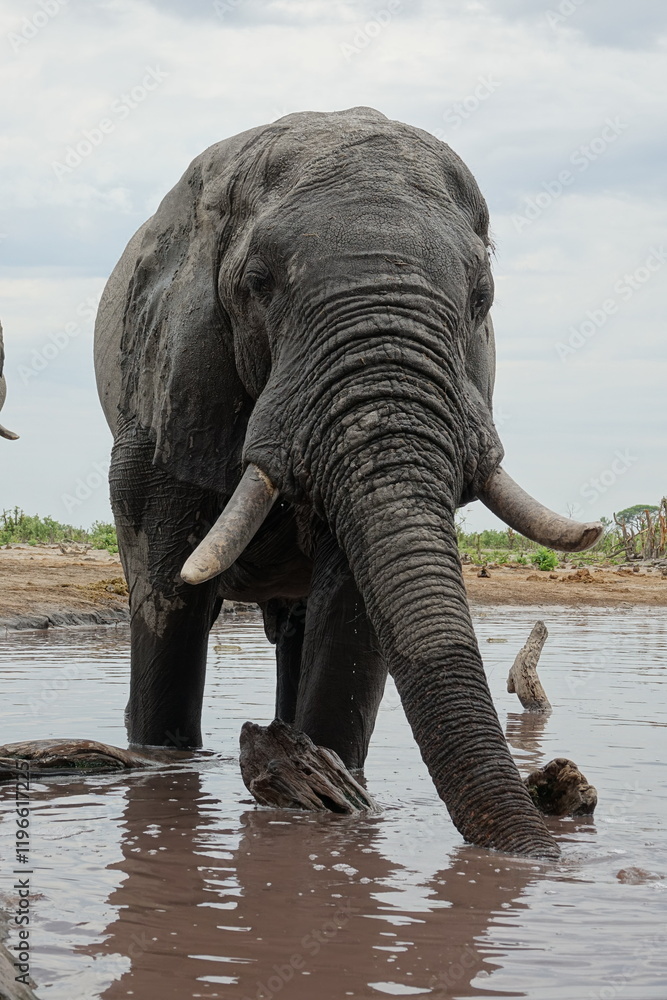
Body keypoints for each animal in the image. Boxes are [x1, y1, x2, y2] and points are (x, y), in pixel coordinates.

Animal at [94, 107, 601, 858]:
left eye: (482, 296)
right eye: (257, 283)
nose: (545, 853)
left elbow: (351, 608)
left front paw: (331, 787)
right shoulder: (173, 383)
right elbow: (170, 593)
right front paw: (164, 767)